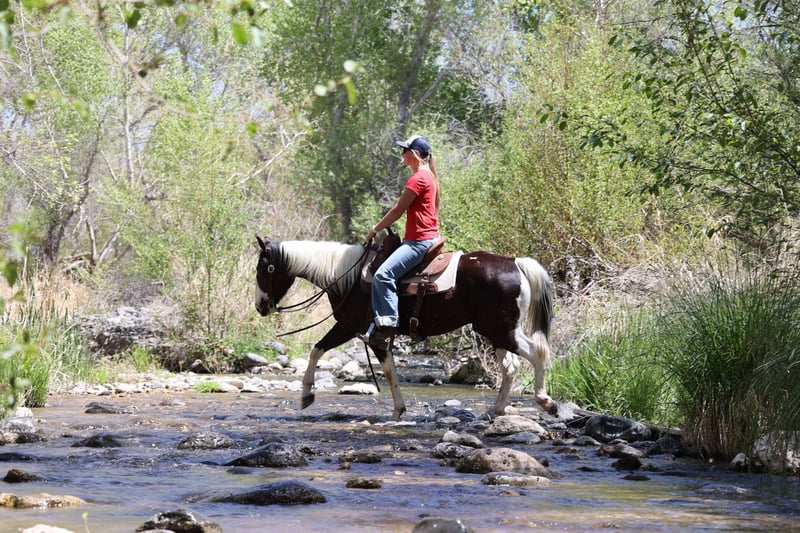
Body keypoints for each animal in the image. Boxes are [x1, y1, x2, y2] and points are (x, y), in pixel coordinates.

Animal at [254, 235, 557, 421]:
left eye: (262, 268)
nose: (260, 306)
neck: (346, 277)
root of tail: (515, 263)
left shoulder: (350, 327)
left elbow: (317, 351)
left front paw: (307, 394)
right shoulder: (372, 335)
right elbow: (389, 371)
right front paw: (399, 411)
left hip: (502, 330)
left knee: (537, 353)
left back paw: (545, 401)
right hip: (496, 333)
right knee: (511, 367)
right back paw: (496, 409)